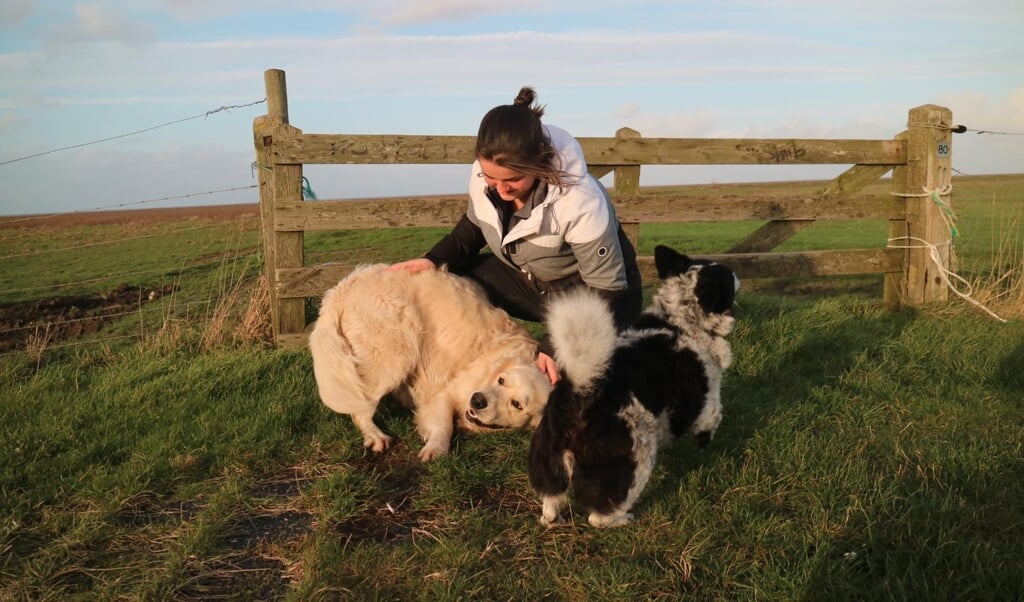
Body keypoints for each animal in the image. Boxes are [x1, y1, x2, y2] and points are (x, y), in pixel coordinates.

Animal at [307, 264, 552, 460]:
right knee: (361, 406)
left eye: (517, 404)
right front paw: (436, 448)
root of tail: (341, 289)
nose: (478, 400)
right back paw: (376, 435)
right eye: (501, 380)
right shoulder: (445, 392)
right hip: (396, 351)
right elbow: (444, 423)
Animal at [528, 244, 737, 528]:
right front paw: (704, 440)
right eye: (727, 278)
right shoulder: (707, 392)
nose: (737, 275)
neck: (679, 319)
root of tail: (579, 391)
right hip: (636, 457)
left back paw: (555, 519)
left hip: (548, 458)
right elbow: (714, 415)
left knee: (550, 503)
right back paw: (623, 518)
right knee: (598, 514)